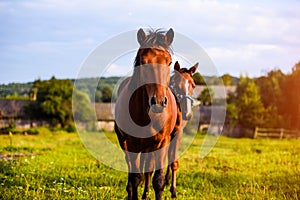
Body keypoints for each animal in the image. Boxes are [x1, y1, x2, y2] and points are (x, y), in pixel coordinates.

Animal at [113, 28, 177, 200]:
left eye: (169, 62)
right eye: (143, 61)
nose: (159, 102)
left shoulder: (162, 142)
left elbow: (158, 180)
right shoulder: (132, 144)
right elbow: (135, 177)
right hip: (125, 143)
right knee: (131, 168)